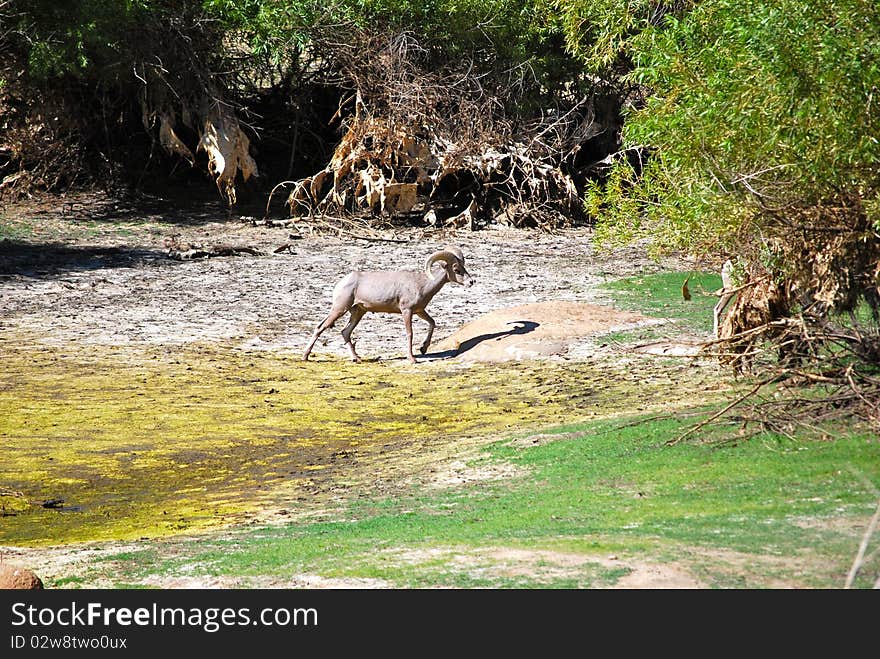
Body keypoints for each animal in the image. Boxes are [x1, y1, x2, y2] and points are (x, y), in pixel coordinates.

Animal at [300, 246, 470, 364]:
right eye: (456, 269)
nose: (471, 282)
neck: (422, 284)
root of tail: (341, 283)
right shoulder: (406, 311)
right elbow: (410, 333)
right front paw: (412, 359)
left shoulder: (420, 311)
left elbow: (432, 323)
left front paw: (423, 348)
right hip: (339, 310)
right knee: (320, 327)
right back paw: (305, 356)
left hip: (358, 313)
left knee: (345, 332)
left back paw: (357, 359)